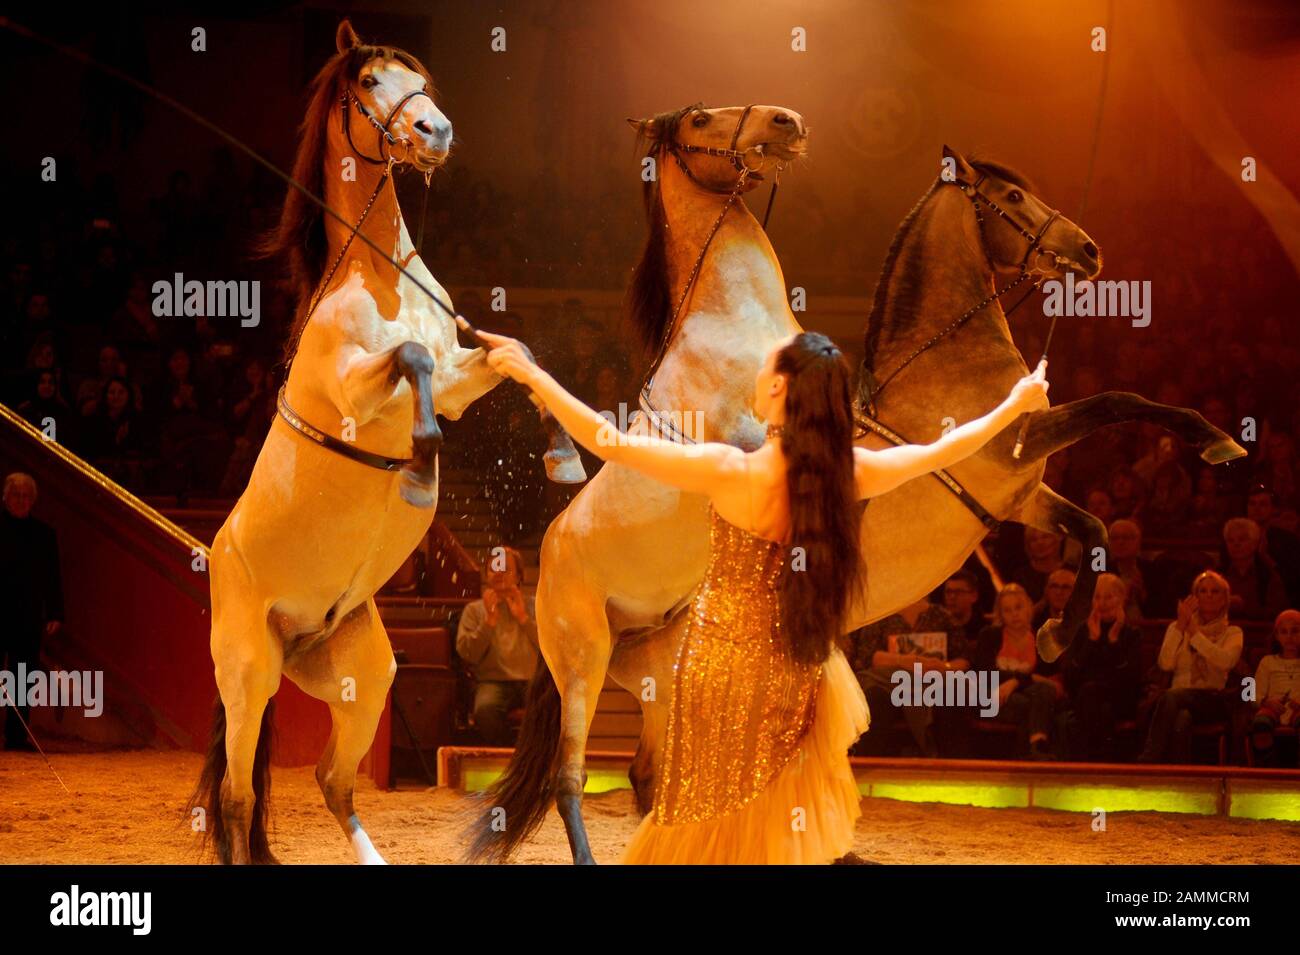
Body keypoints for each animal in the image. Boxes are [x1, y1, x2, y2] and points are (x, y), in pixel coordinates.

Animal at [195, 18, 582, 867]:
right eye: (370, 83)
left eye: (420, 80)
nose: (434, 130)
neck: (380, 276)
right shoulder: (355, 392)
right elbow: (411, 359)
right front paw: (417, 467)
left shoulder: (466, 372)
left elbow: (515, 354)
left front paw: (562, 456)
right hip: (246, 673)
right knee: (237, 800)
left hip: (362, 678)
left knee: (332, 783)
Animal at [467, 136, 1237, 867]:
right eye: (1014, 195)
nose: (1089, 249)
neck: (945, 366)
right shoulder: (1016, 448)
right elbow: (1120, 400)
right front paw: (1217, 441)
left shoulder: (1019, 496)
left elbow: (1094, 525)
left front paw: (1054, 631)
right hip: (594, 664)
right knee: (586, 779)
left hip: (667, 690)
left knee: (656, 780)